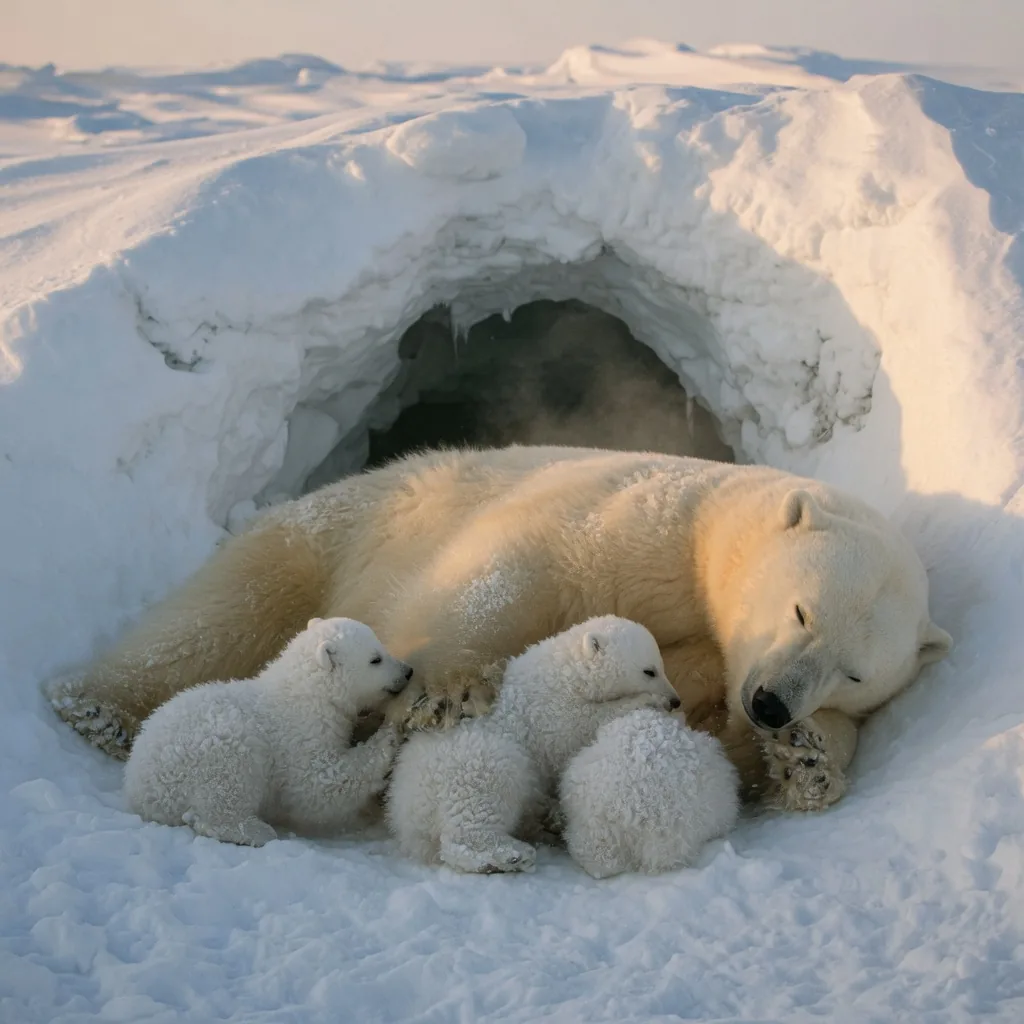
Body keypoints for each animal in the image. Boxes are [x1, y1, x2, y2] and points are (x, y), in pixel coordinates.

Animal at [47, 445, 952, 814]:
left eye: (854, 673)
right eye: (801, 609)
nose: (771, 703)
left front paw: (807, 762)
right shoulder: (643, 522)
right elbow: (509, 572)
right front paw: (448, 692)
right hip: (338, 526)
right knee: (227, 608)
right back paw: (96, 707)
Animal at [123, 617, 413, 846]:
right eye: (376, 659)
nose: (408, 670)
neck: (306, 693)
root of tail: (141, 789)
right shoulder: (299, 733)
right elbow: (318, 782)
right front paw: (390, 733)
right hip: (209, 754)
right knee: (226, 785)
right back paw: (255, 830)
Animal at [386, 615, 681, 873]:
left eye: (662, 665)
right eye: (650, 671)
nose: (676, 700)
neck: (565, 671)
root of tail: (405, 807)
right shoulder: (549, 708)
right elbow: (581, 724)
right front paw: (649, 701)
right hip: (471, 762)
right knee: (479, 801)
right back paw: (511, 855)